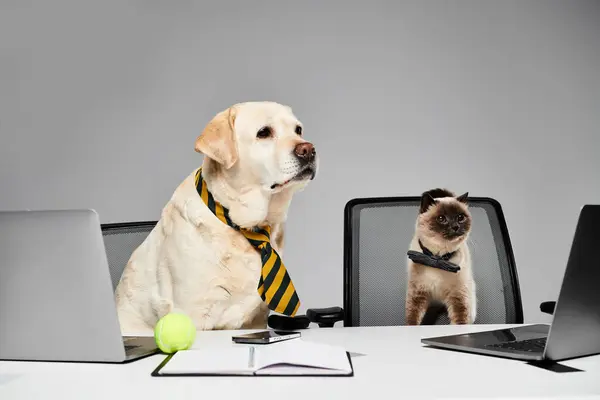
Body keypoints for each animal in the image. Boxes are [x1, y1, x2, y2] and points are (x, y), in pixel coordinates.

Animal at [113, 101, 318, 332]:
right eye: (264, 132)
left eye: (298, 130)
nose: (308, 150)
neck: (240, 225)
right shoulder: (192, 313)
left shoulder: (256, 319)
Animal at [406, 188, 476, 324]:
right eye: (441, 218)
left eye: (460, 217)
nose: (455, 227)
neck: (437, 258)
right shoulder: (417, 293)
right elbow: (412, 319)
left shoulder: (458, 297)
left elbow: (460, 322)